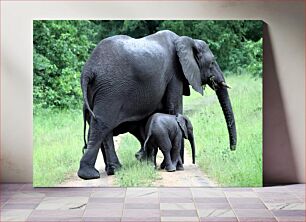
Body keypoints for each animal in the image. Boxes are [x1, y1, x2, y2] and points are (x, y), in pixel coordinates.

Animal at [78, 29, 237, 180]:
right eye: (212, 63)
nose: (232, 148)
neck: (186, 40)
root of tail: (88, 70)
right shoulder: (175, 74)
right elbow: (174, 108)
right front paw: (176, 167)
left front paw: (158, 164)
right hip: (111, 90)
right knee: (103, 124)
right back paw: (91, 175)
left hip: (98, 92)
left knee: (102, 127)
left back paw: (115, 170)